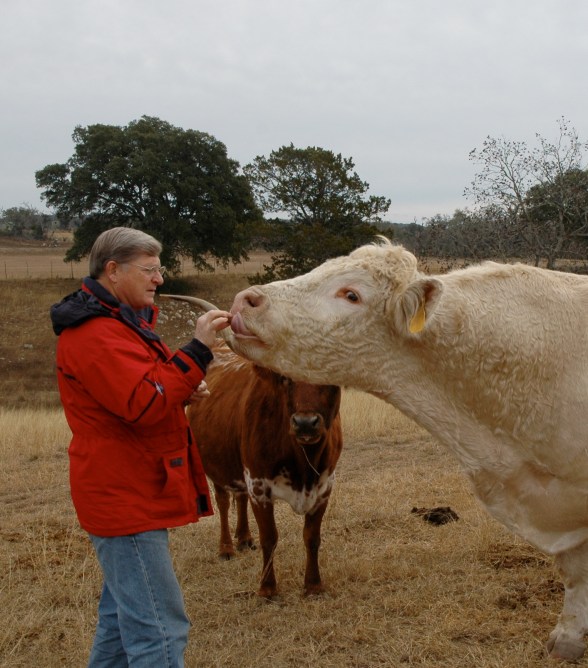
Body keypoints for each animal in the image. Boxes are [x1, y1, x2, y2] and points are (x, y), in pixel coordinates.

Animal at [185, 339, 342, 599]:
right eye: (285, 377)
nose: (305, 423)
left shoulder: (324, 486)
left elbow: (312, 537)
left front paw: (313, 585)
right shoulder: (259, 485)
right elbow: (269, 537)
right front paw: (268, 588)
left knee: (240, 497)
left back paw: (244, 537)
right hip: (216, 464)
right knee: (223, 501)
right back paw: (227, 547)